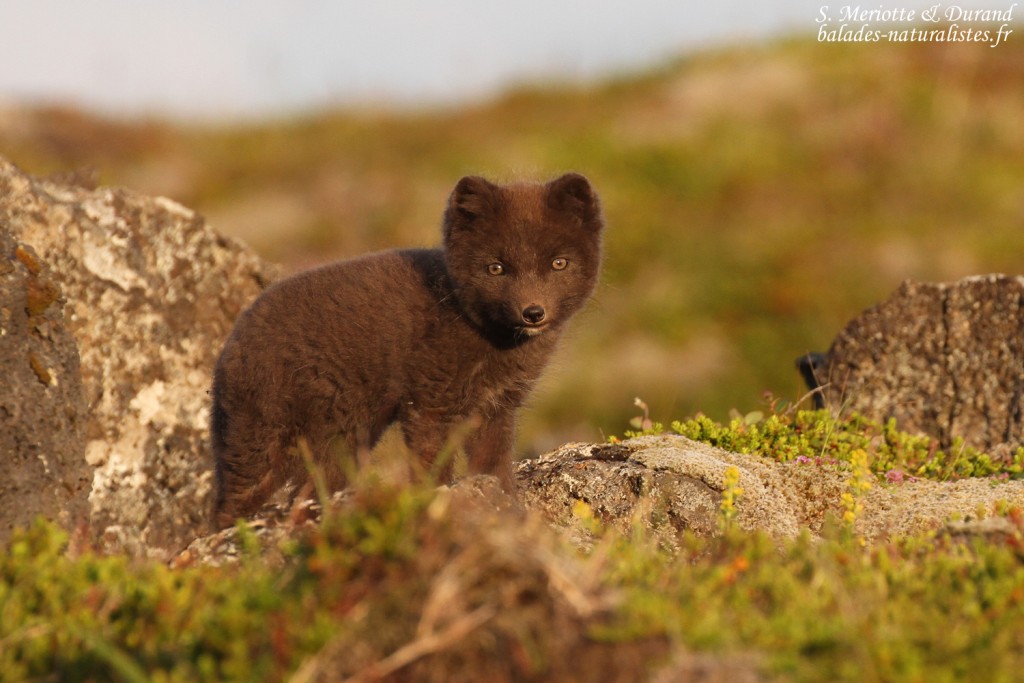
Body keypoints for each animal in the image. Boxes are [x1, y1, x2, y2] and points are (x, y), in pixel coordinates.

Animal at [210, 173, 603, 528]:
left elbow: (493, 465)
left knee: (306, 492)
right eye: (496, 268)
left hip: (342, 440)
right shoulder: (430, 404)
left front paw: (506, 509)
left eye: (558, 263)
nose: (533, 312)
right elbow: (433, 467)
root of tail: (230, 344)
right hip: (264, 437)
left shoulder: (497, 407)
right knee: (229, 505)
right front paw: (439, 504)